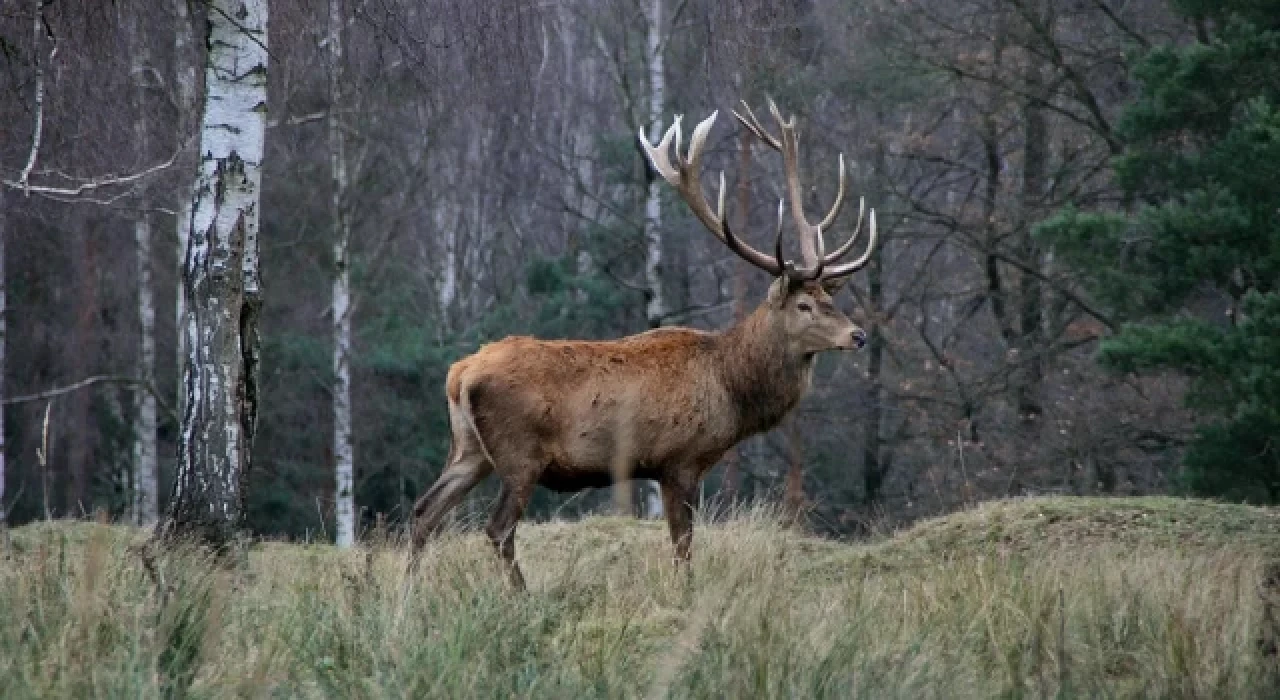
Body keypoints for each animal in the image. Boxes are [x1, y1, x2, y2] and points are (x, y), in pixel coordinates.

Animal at [409, 99, 880, 591]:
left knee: (424, 512)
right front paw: (685, 593)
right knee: (497, 527)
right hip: (520, 454)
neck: (732, 389)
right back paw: (521, 596)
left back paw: (408, 593)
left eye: (832, 299)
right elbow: (683, 546)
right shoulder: (680, 460)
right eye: (805, 304)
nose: (858, 335)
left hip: (469, 448)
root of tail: (459, 375)